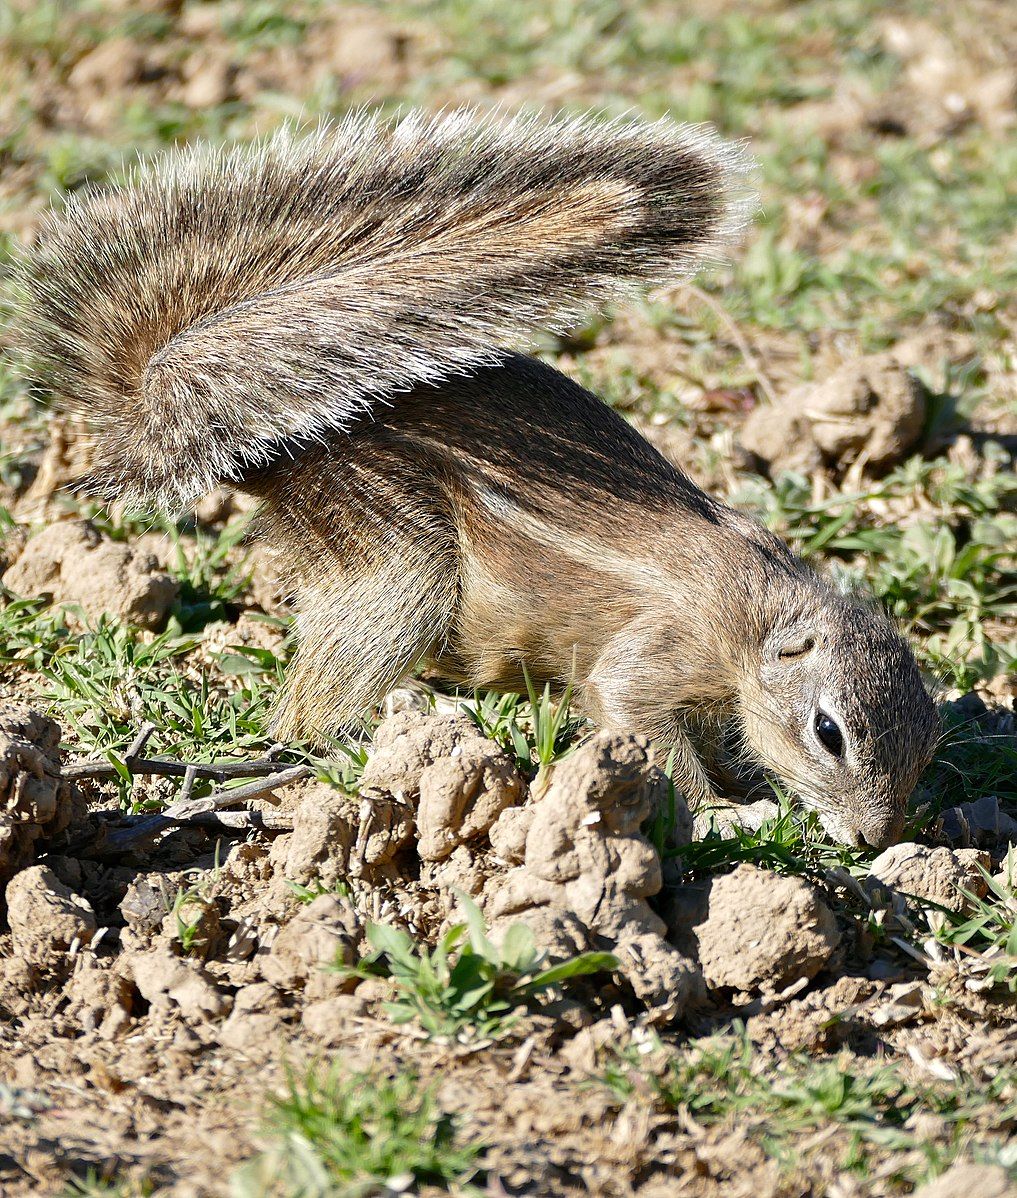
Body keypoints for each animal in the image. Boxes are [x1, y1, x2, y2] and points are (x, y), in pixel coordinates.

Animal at [13, 107, 934, 848]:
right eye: (827, 732)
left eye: (927, 745)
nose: (876, 838)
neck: (756, 612)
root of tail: (277, 439)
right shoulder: (653, 654)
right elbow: (643, 725)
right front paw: (722, 812)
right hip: (399, 565)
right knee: (305, 712)